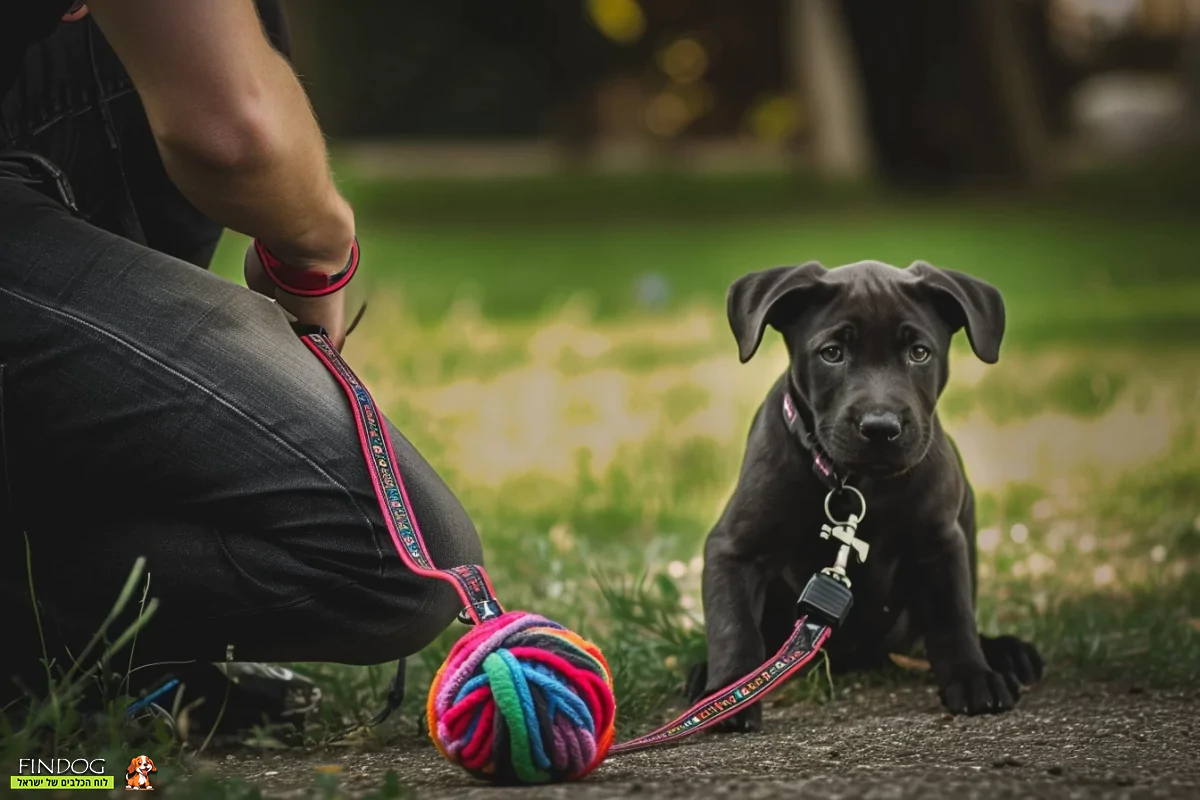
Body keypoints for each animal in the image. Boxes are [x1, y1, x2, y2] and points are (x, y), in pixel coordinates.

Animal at [696, 260, 1041, 729]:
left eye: (919, 353)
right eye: (832, 353)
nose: (881, 427)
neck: (859, 484)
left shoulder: (939, 542)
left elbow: (953, 617)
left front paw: (972, 677)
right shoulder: (735, 548)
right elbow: (734, 626)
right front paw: (729, 693)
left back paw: (1009, 652)